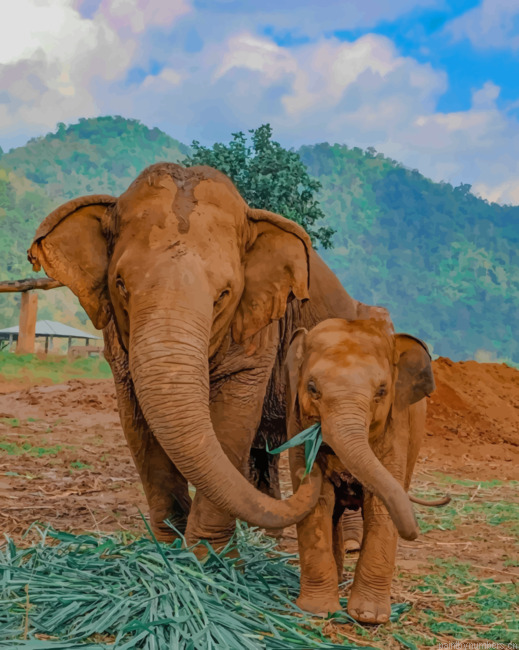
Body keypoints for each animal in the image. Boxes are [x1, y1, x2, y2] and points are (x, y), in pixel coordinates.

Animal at [28, 162, 419, 550]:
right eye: (121, 285)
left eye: (224, 294)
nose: (311, 473)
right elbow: (137, 424)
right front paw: (168, 551)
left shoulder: (257, 327)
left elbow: (232, 419)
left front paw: (209, 556)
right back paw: (266, 538)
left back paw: (346, 544)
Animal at [285, 317, 435, 623]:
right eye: (312, 388)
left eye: (381, 391)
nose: (414, 531)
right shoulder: (295, 423)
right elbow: (316, 503)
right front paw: (318, 611)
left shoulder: (395, 427)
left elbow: (379, 507)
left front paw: (368, 617)